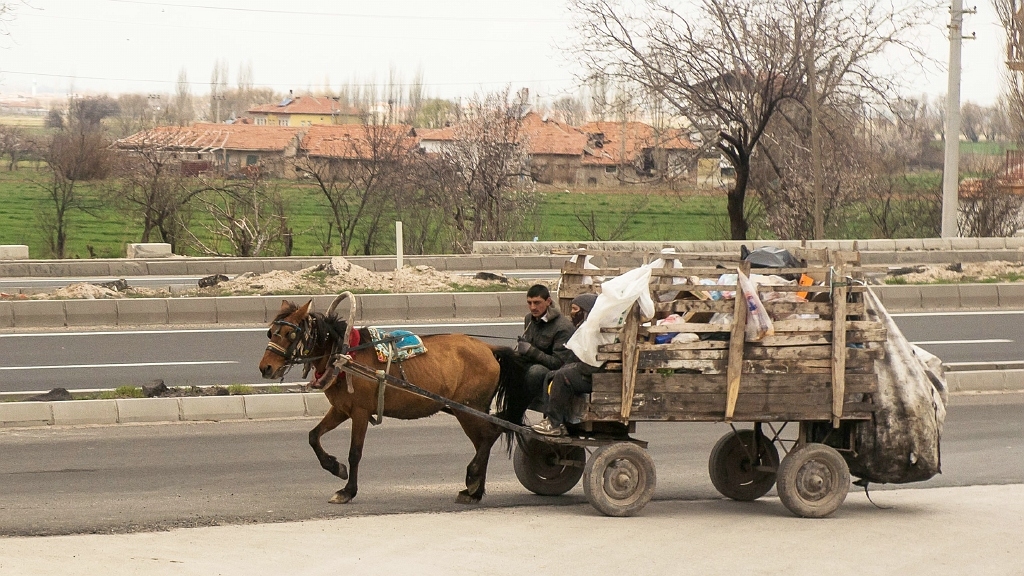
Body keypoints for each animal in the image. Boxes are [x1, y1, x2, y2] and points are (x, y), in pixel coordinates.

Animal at [256, 297, 532, 504]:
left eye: (289, 333)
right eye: (271, 332)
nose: (265, 368)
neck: (345, 354)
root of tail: (489, 349)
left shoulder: (360, 412)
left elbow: (355, 453)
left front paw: (348, 490)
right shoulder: (341, 409)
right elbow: (313, 436)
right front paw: (334, 467)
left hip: (469, 408)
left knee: (489, 436)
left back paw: (473, 478)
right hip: (468, 410)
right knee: (484, 440)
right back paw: (474, 490)